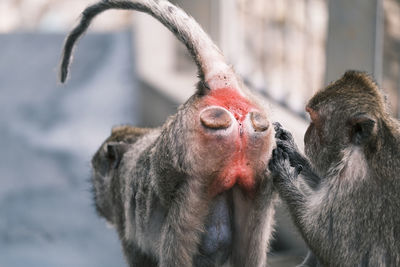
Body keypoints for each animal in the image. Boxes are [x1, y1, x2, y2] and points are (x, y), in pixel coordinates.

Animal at [59, 1, 278, 266]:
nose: (97, 201)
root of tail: (217, 85)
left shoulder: (126, 227)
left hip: (187, 169)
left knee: (178, 233)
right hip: (259, 169)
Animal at [268, 71, 400, 267]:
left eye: (314, 120)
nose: (306, 135)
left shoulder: (354, 184)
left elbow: (334, 252)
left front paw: (283, 174)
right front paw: (291, 148)